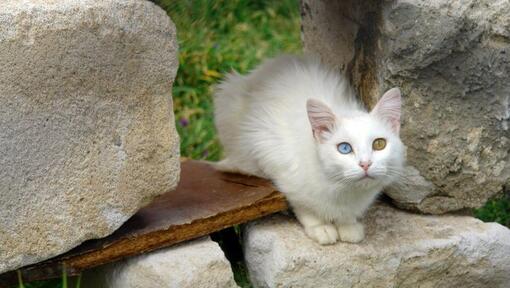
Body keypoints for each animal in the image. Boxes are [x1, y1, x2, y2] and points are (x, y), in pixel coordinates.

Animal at [213, 55, 404, 245]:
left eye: (379, 144)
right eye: (344, 148)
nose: (365, 164)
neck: (343, 189)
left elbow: (346, 216)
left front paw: (348, 226)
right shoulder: (276, 160)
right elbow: (305, 208)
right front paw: (322, 228)